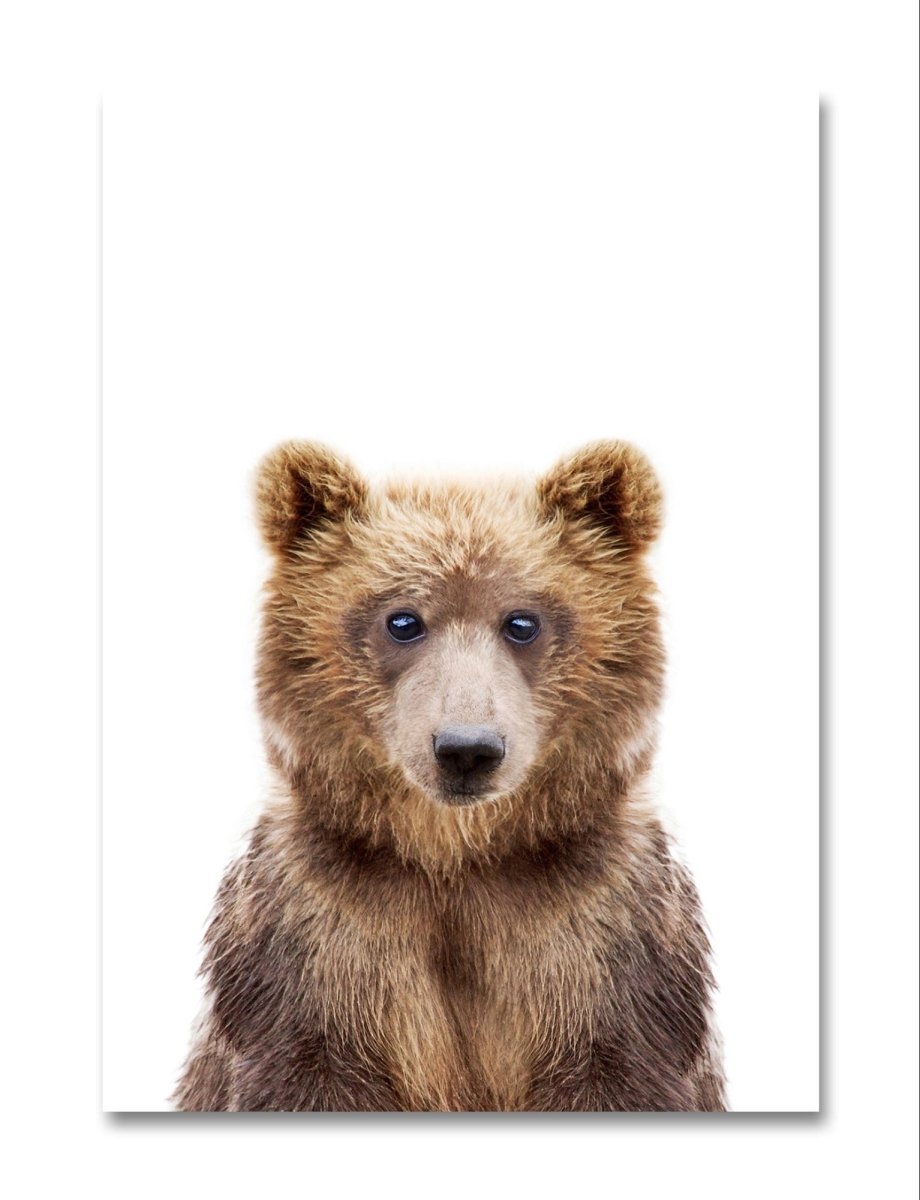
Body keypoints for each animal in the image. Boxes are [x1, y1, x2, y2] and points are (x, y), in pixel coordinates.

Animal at [173, 439, 727, 1112]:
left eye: (522, 621)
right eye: (403, 620)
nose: (467, 749)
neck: (456, 858)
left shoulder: (603, 938)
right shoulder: (315, 938)